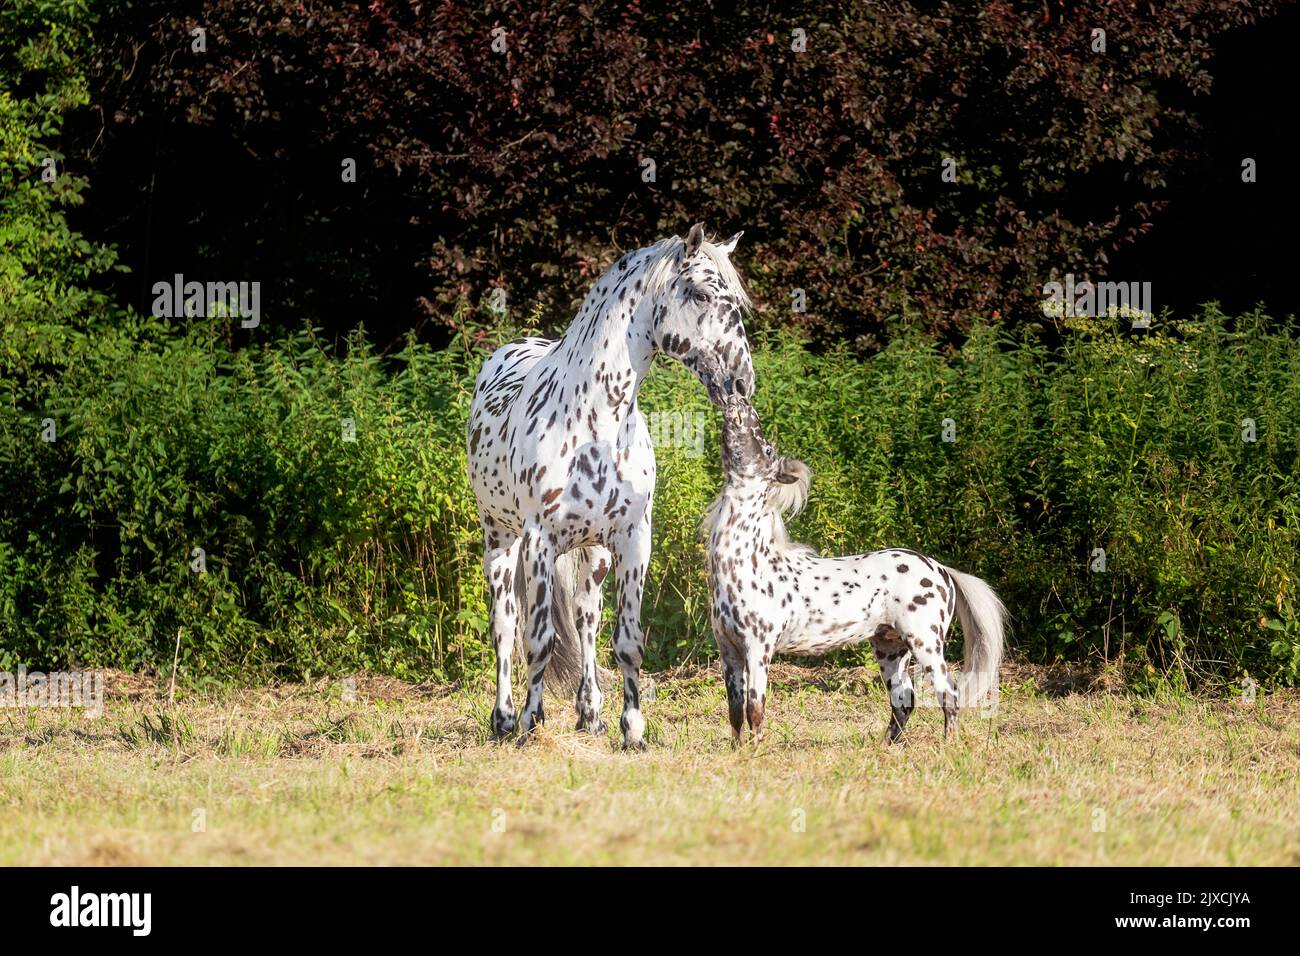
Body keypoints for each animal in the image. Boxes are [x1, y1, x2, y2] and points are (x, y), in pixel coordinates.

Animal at [466, 225, 755, 749]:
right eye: (702, 294)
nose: (742, 383)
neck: (594, 422)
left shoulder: (633, 539)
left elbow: (628, 641)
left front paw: (632, 729)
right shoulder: (538, 542)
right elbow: (538, 640)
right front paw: (531, 724)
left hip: (594, 555)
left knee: (586, 620)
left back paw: (590, 714)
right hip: (501, 540)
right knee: (505, 626)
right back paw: (504, 719)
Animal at [705, 396, 1007, 744]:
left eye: (766, 448)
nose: (738, 404)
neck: (748, 564)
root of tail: (941, 569)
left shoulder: (758, 650)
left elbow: (755, 710)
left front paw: (755, 750)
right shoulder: (729, 652)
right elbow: (735, 710)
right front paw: (738, 750)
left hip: (926, 643)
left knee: (948, 695)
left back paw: (948, 744)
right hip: (891, 647)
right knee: (903, 701)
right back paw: (887, 747)